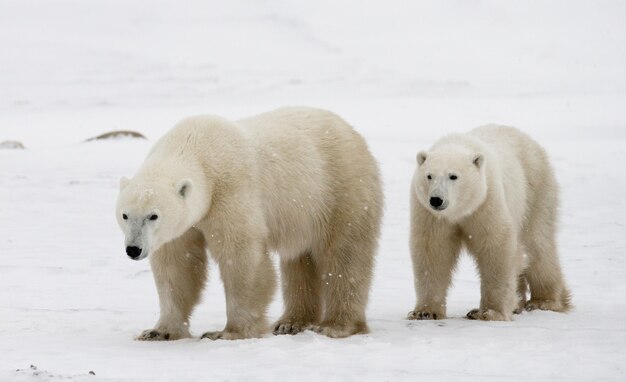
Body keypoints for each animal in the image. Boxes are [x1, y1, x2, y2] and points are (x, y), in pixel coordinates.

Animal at [114, 106, 382, 340]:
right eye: (125, 215)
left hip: (341, 188)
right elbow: (177, 265)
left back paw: (336, 326)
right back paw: (291, 323)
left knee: (345, 255)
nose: (133, 249)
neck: (194, 147)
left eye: (153, 216)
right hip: (303, 213)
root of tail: (351, 131)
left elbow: (240, 256)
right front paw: (158, 331)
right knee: (299, 258)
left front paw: (228, 332)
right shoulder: (184, 225)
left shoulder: (230, 189)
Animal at [408, 124, 568, 320]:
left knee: (537, 246)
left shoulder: (486, 201)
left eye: (453, 176)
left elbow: (496, 246)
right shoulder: (430, 214)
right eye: (429, 176)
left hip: (536, 192)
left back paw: (544, 301)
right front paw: (425, 312)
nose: (436, 200)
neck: (460, 211)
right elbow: (433, 250)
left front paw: (489, 312)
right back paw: (518, 303)